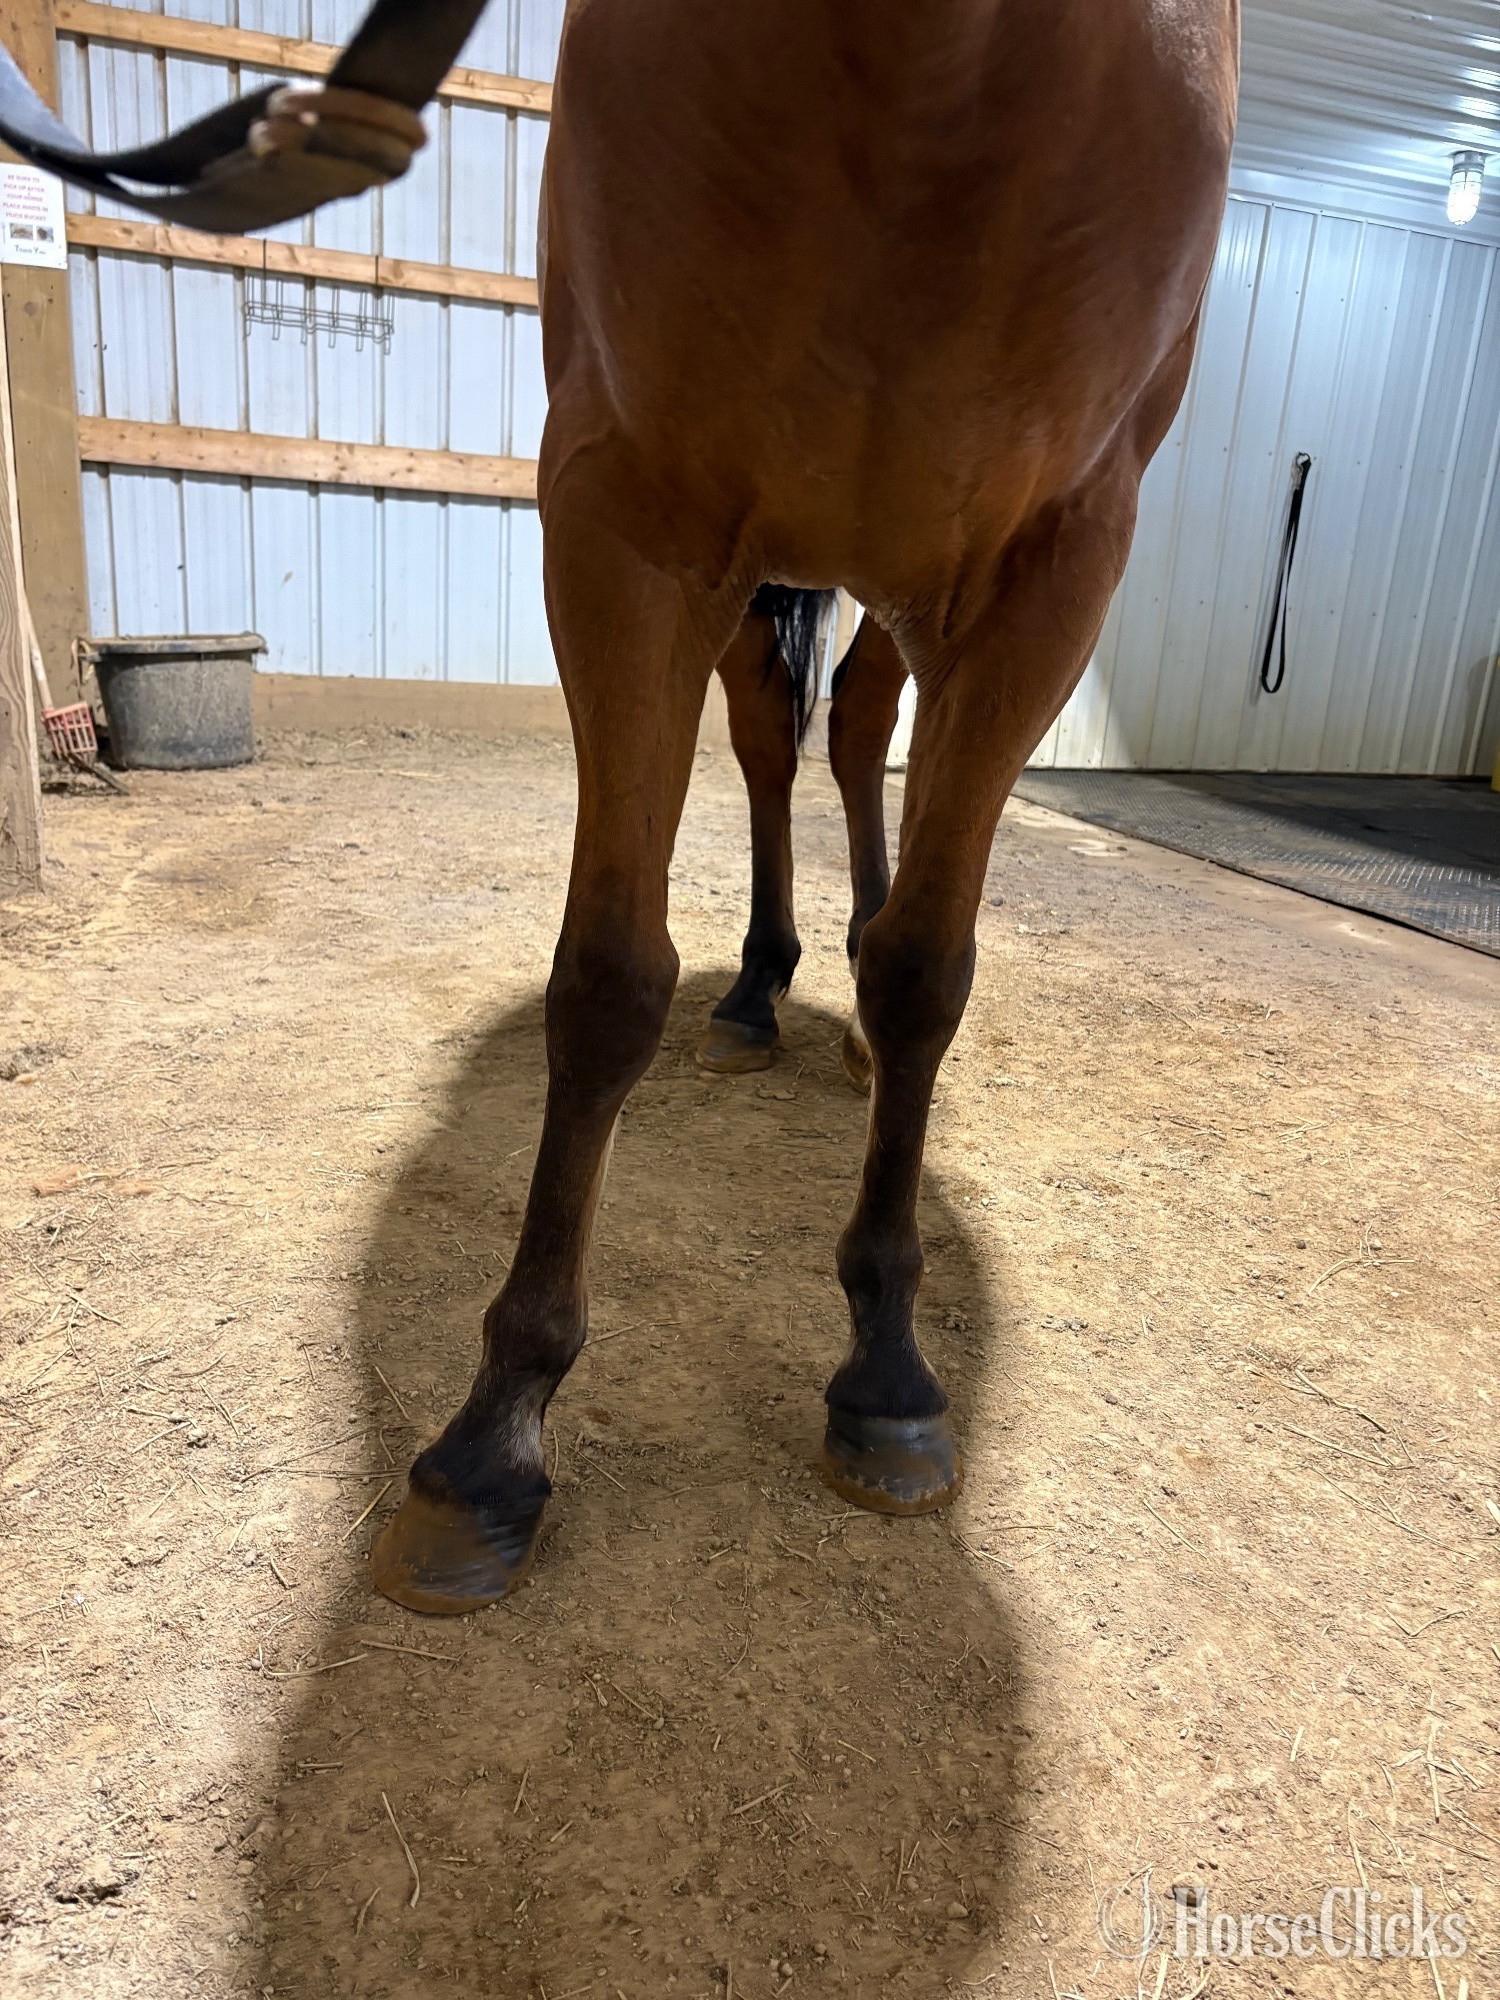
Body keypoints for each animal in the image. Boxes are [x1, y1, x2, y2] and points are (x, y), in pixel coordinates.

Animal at [370, 0, 1239, 1612]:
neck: (925, 78)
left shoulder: (1051, 575)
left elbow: (925, 972)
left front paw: (887, 1369)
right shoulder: (626, 525)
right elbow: (605, 983)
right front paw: (493, 1436)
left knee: (860, 735)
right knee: (779, 740)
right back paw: (757, 993)